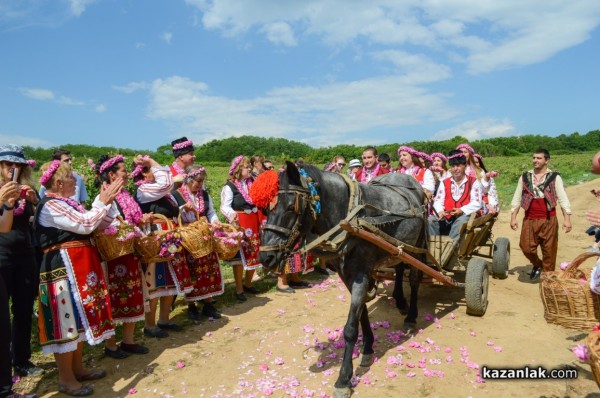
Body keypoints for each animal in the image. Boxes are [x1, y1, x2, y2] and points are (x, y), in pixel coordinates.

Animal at [260, 162, 428, 398]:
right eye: (266, 209)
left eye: (291, 207)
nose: (265, 257)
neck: (349, 218)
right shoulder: (347, 275)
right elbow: (361, 314)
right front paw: (368, 348)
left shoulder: (360, 274)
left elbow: (350, 327)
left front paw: (344, 378)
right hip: (398, 246)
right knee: (400, 265)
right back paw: (400, 301)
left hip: (418, 244)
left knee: (413, 277)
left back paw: (411, 316)